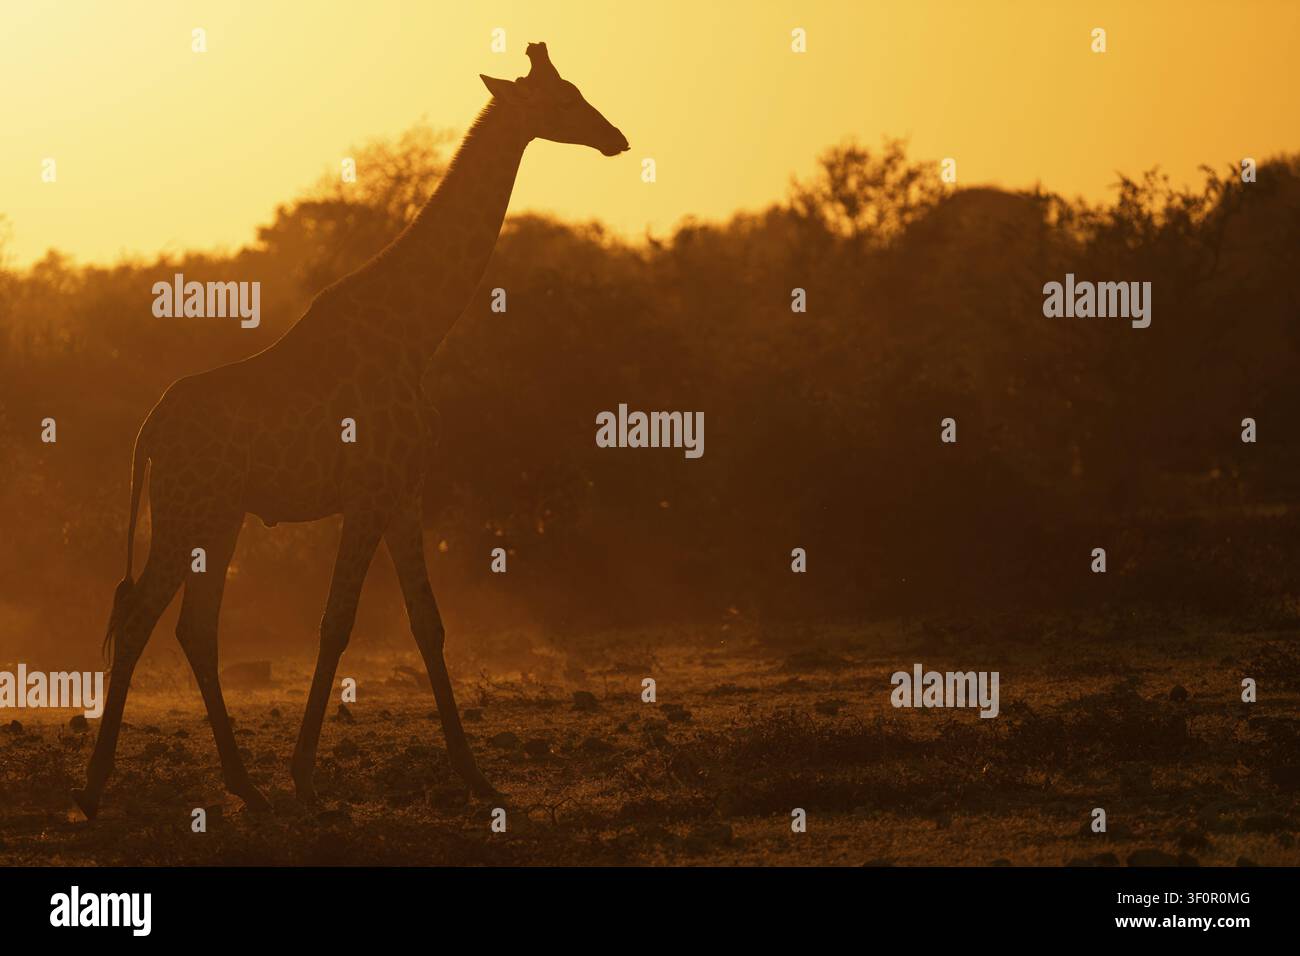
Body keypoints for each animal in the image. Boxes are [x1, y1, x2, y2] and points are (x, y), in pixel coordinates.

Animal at [72, 42, 628, 819]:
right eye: (564, 98)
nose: (617, 139)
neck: (419, 333)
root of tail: (147, 432)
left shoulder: (403, 493)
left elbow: (428, 624)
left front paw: (476, 775)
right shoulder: (368, 493)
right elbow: (337, 623)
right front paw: (306, 774)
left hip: (220, 517)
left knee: (190, 626)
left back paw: (244, 786)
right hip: (189, 511)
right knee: (139, 616)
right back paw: (98, 789)